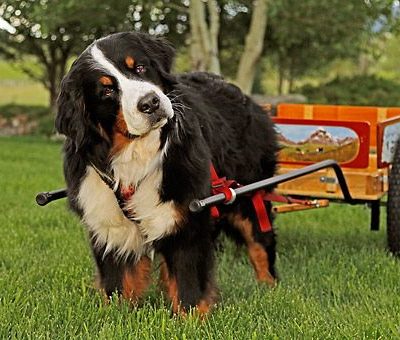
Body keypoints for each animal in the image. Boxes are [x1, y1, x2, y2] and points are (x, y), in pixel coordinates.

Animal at [56, 31, 278, 314]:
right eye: (106, 90)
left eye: (140, 67)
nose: (150, 103)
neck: (135, 157)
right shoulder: (109, 224)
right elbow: (118, 283)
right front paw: (117, 315)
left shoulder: (185, 217)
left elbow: (188, 286)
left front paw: (191, 317)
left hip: (247, 194)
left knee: (260, 242)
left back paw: (269, 287)